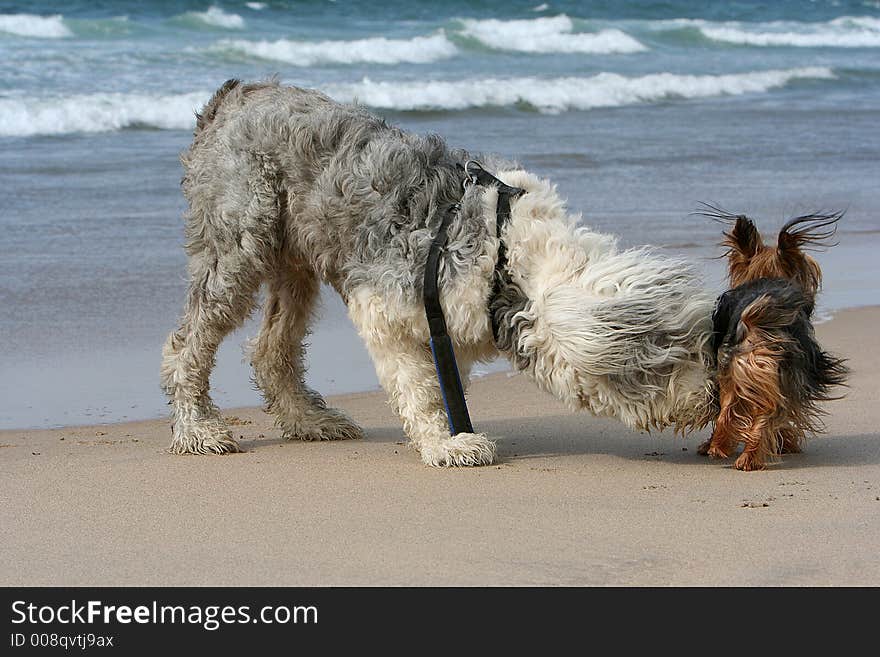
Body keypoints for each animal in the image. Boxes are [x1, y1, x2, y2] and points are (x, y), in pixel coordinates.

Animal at [162, 79, 720, 464]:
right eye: (667, 363)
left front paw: (454, 430)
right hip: (237, 247)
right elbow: (420, 387)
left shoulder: (447, 324)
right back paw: (198, 430)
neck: (506, 259)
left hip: (295, 264)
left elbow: (447, 380)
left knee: (270, 349)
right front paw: (445, 444)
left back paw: (310, 420)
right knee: (185, 346)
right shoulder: (383, 308)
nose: (712, 403)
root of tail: (234, 95)